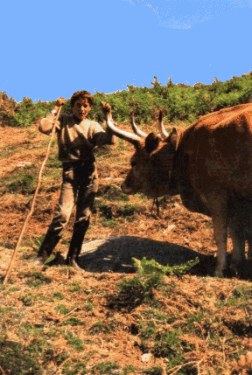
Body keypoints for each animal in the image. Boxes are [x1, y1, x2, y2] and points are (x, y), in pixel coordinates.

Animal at [103, 103, 252, 276]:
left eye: (133, 162)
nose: (124, 185)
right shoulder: (236, 202)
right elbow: (238, 234)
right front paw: (238, 266)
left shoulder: (216, 196)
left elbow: (221, 235)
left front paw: (219, 270)